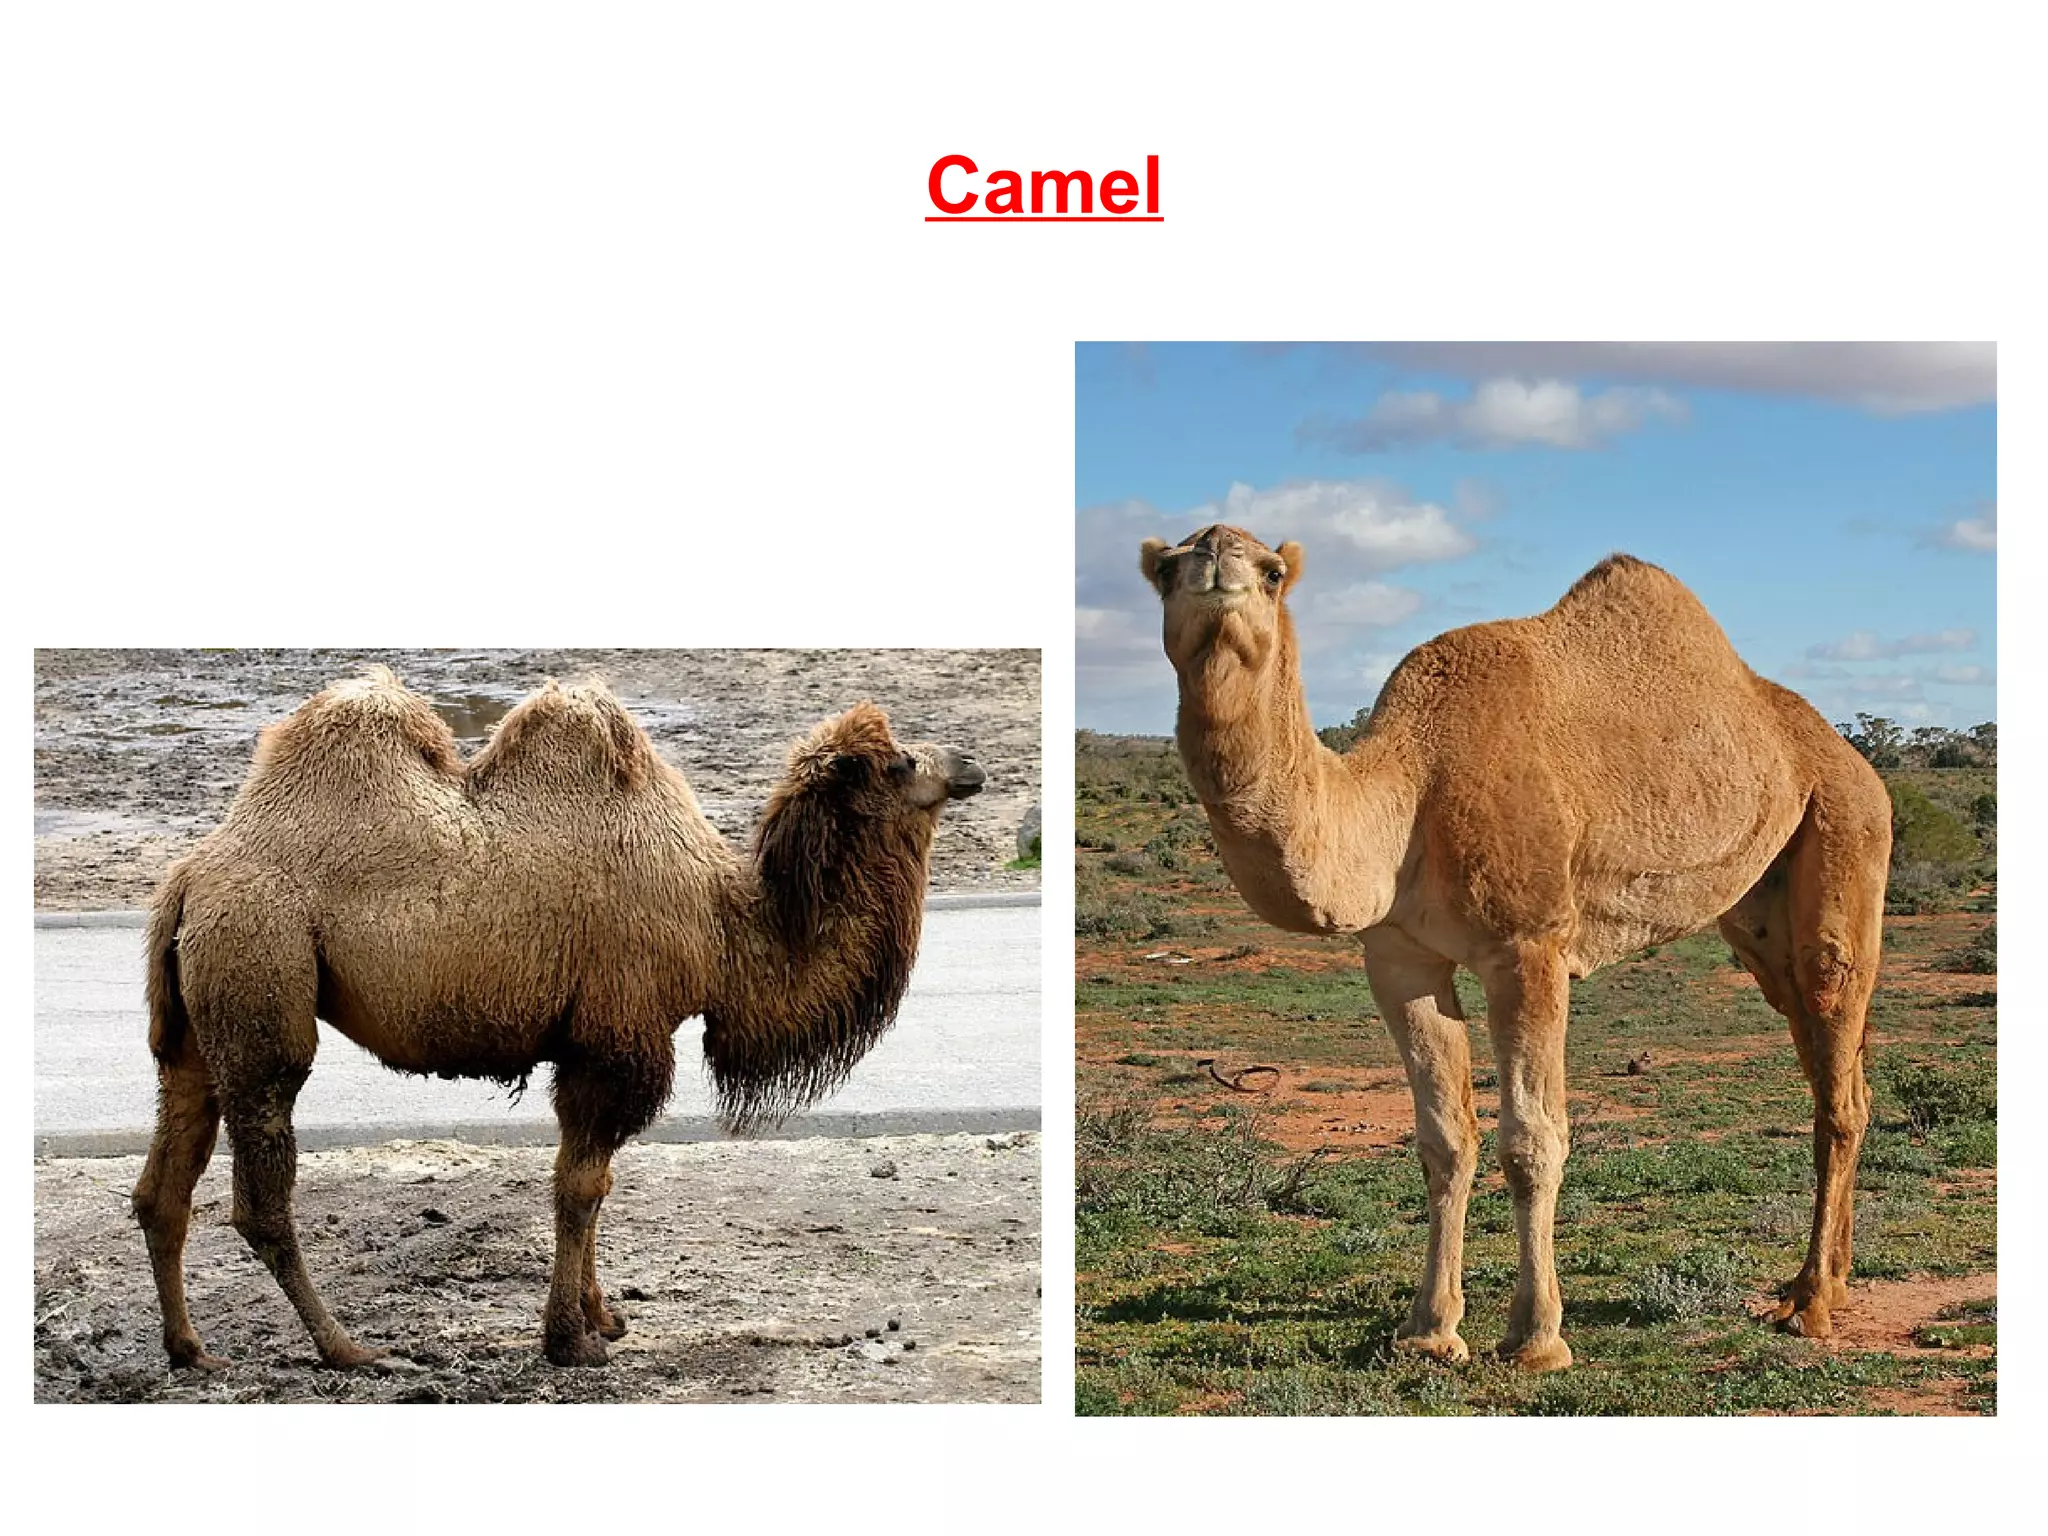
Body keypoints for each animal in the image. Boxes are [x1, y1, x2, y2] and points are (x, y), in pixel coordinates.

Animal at [134, 668, 984, 1369]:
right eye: (900, 762)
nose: (970, 764)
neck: (723, 924)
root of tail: (189, 876)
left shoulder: (594, 1041)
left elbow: (594, 1186)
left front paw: (602, 1317)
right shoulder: (619, 1037)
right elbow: (579, 1185)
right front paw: (571, 1340)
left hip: (193, 1028)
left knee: (165, 1179)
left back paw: (190, 1351)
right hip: (260, 969)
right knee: (261, 1189)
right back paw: (348, 1349)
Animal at [1139, 525, 1890, 1371]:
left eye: (1272, 572)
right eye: (1165, 568)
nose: (1216, 558)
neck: (1409, 791)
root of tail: (1850, 757)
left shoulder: (1528, 948)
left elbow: (1532, 1140)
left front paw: (1536, 1337)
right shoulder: (1398, 958)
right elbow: (1443, 1138)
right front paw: (1429, 1331)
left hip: (1846, 829)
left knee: (1837, 1065)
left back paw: (1813, 1303)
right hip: (1760, 914)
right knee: (1832, 1059)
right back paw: (1824, 1283)